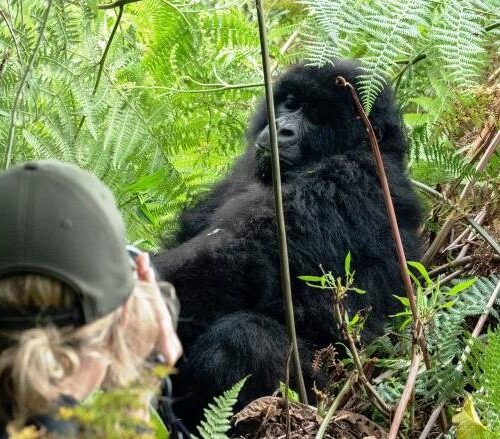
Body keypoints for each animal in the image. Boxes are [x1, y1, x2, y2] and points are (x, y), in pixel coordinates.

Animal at [153, 59, 422, 430]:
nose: (282, 129)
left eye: (318, 117)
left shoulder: (346, 181)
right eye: (291, 103)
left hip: (328, 397)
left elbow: (230, 264)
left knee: (241, 338)